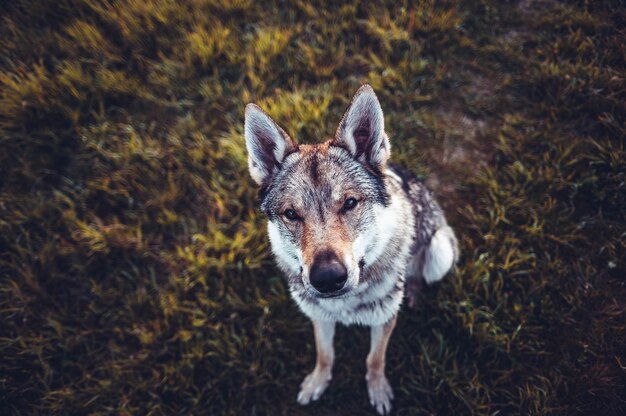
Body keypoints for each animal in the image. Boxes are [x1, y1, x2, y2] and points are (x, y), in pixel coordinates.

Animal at [245, 84, 458, 412]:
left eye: (349, 203)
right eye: (291, 214)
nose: (328, 278)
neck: (345, 306)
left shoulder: (384, 321)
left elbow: (374, 359)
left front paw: (379, 391)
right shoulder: (318, 317)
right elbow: (325, 355)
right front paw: (317, 383)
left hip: (440, 252)